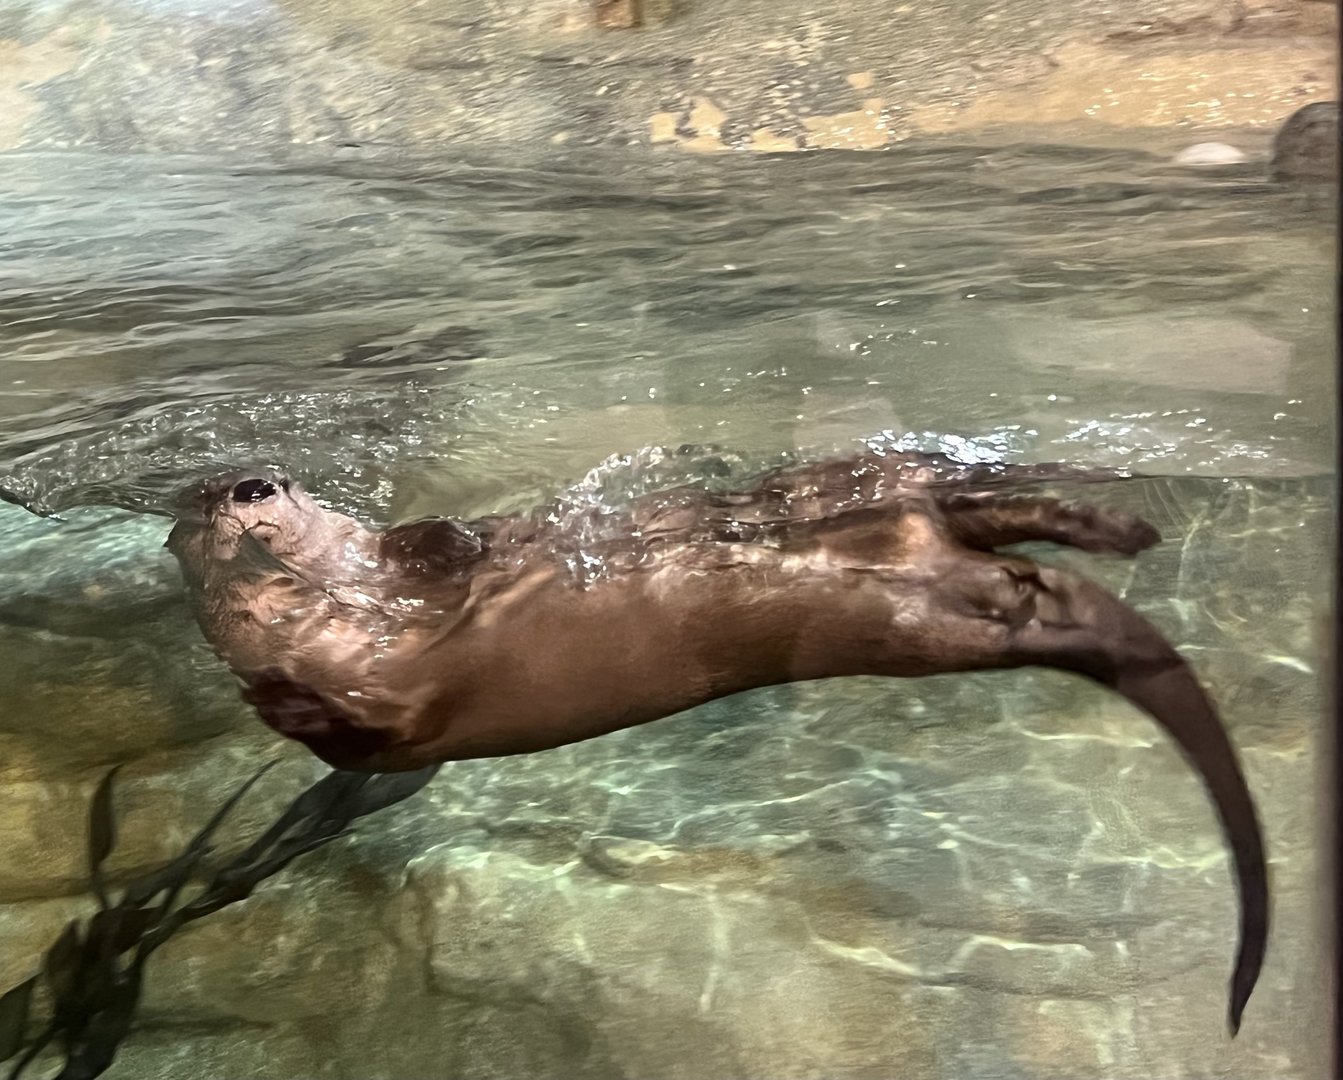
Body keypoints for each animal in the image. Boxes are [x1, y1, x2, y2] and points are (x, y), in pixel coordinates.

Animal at [165, 448, 1267, 1033]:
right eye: (204, 506)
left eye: (260, 486)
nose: (251, 486)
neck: (349, 617)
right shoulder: (382, 719)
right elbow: (345, 738)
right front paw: (290, 701)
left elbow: (433, 564)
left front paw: (446, 538)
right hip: (916, 614)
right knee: (1006, 584)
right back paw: (1085, 558)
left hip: (895, 532)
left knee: (968, 507)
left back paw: (1112, 526)